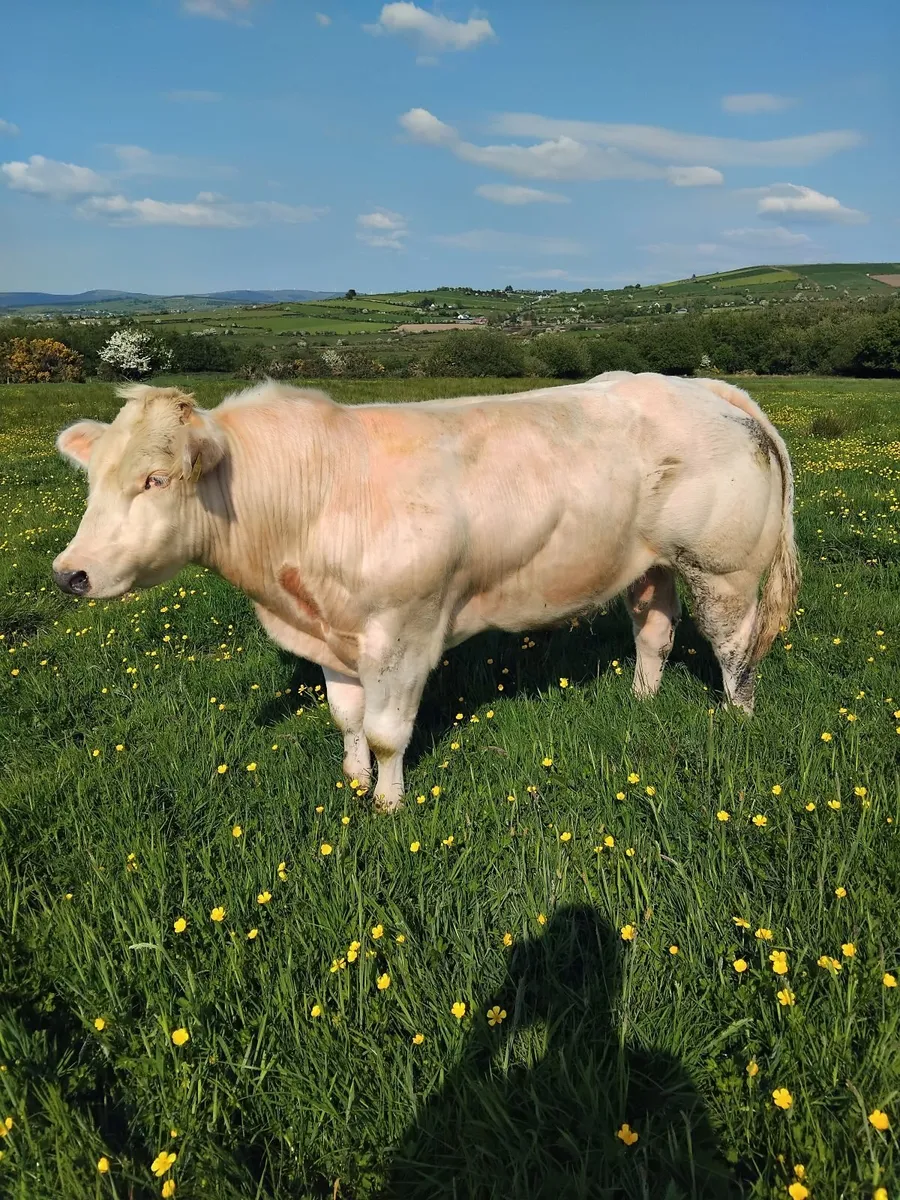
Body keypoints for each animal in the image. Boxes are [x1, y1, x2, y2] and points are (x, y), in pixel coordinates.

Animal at [53, 372, 799, 811]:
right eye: (93, 480)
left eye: (154, 479)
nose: (70, 573)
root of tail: (705, 387)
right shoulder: (332, 633)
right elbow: (347, 718)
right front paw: (353, 779)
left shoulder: (403, 632)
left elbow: (388, 732)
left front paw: (387, 803)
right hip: (651, 564)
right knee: (654, 631)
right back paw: (641, 701)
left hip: (723, 568)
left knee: (735, 647)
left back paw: (738, 719)